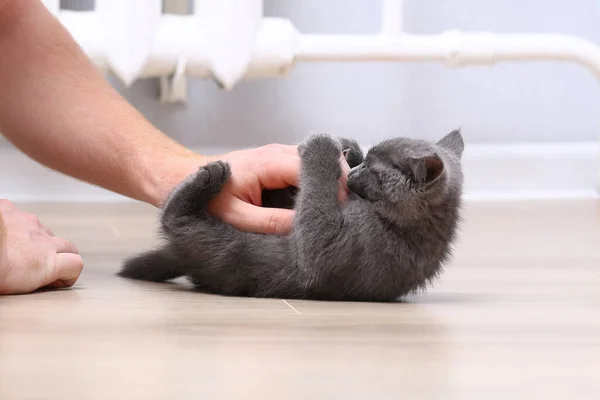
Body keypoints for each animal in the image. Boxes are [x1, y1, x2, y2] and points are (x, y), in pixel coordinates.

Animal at [118, 130, 464, 302]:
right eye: (368, 161)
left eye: (374, 170)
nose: (354, 172)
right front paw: (347, 148)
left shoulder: (341, 246)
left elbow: (315, 226)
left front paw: (322, 145)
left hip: (216, 244)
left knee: (175, 218)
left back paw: (209, 176)